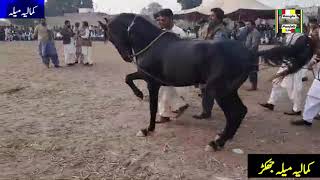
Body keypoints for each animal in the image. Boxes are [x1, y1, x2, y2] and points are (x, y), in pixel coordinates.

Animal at [99, 13, 314, 150]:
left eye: (110, 34)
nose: (126, 56)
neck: (152, 44)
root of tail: (249, 53)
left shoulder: (152, 81)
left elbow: (151, 106)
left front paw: (147, 129)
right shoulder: (150, 77)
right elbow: (128, 78)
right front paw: (140, 96)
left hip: (219, 90)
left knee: (236, 112)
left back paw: (217, 143)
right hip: (228, 90)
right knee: (240, 112)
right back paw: (223, 137)